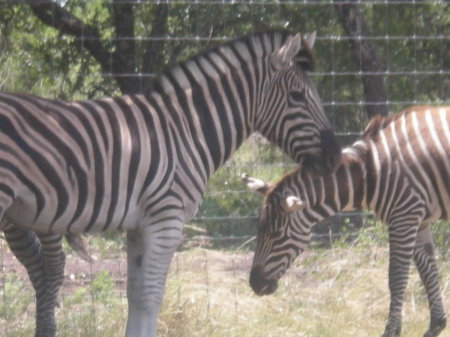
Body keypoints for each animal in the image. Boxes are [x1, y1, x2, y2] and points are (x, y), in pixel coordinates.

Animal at [0, 29, 342, 336]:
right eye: (297, 96)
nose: (336, 158)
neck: (186, 131)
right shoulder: (167, 218)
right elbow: (152, 295)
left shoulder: (139, 225)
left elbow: (136, 294)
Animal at [244, 105, 450, 336]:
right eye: (259, 231)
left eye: (276, 234)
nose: (255, 284)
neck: (372, 171)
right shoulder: (419, 219)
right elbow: (429, 272)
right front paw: (436, 325)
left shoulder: (404, 216)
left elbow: (396, 278)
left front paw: (391, 331)